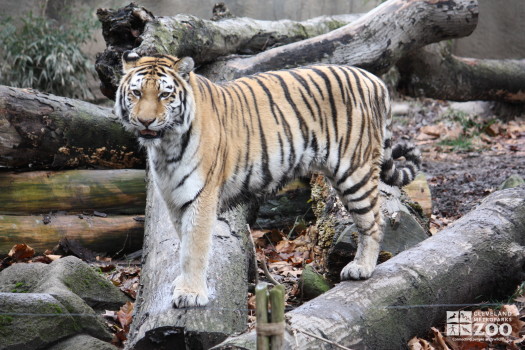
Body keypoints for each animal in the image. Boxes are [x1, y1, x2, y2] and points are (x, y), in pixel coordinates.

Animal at [114, 51, 422, 306]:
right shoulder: (174, 198)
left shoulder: (201, 196)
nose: (145, 121)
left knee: (374, 220)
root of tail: (374, 80)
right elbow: (183, 245)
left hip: (354, 171)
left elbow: (194, 248)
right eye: (136, 93)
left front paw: (190, 294)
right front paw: (184, 283)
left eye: (165, 95)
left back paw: (362, 268)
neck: (165, 146)